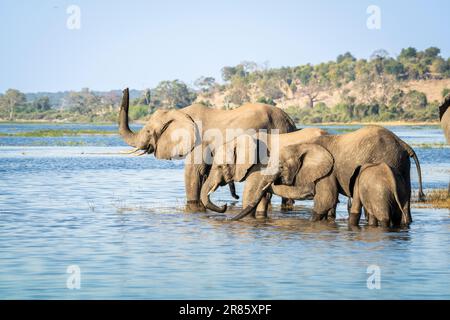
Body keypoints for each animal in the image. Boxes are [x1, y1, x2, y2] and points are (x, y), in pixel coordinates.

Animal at [118, 89, 298, 211]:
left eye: (149, 131)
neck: (181, 113)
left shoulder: (200, 141)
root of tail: (290, 121)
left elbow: (193, 172)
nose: (125, 89)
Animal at [229, 125, 426, 225]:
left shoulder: (328, 171)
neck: (302, 145)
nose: (229, 219)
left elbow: (326, 200)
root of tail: (404, 144)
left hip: (390, 160)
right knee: (404, 207)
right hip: (401, 168)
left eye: (281, 166)